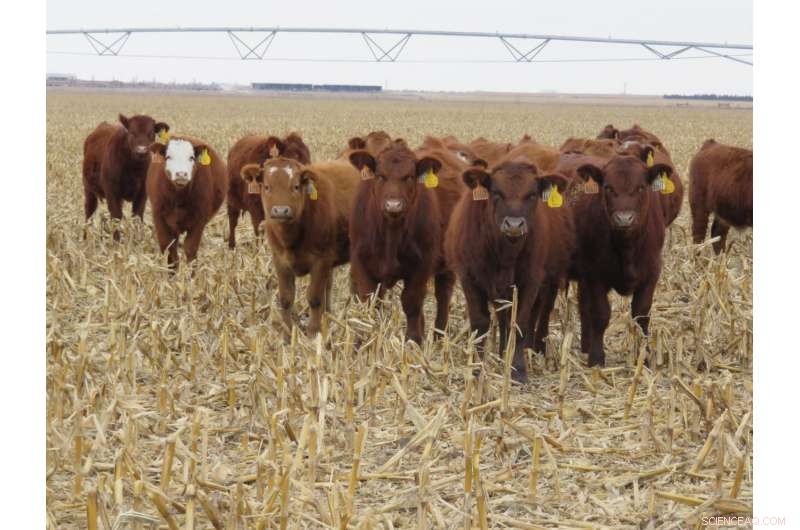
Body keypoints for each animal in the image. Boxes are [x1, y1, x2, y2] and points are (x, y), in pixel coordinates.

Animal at [146, 136, 228, 271]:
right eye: (168, 157)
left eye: (191, 157)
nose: (181, 174)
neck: (178, 198)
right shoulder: (159, 218)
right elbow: (169, 250)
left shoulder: (199, 221)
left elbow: (190, 251)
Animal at [240, 157, 360, 336]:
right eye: (267, 186)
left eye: (296, 186)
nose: (281, 210)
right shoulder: (280, 260)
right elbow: (286, 298)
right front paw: (287, 332)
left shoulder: (321, 260)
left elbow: (315, 298)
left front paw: (313, 332)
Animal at [348, 142, 465, 343]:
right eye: (380, 176)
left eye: (409, 177)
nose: (393, 205)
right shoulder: (361, 262)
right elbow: (369, 304)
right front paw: (362, 343)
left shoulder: (422, 264)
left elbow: (411, 303)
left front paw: (412, 343)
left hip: (447, 266)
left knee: (443, 296)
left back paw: (439, 338)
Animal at [445, 160, 574, 382]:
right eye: (496, 192)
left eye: (532, 194)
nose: (514, 224)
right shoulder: (469, 279)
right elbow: (480, 323)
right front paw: (478, 369)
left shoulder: (531, 281)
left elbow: (520, 322)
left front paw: (518, 370)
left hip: (550, 282)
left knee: (539, 314)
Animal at [569, 146, 674, 367]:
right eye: (608, 187)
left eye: (641, 187)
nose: (624, 219)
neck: (628, 249)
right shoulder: (595, 276)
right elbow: (600, 314)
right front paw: (597, 357)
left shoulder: (651, 273)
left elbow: (641, 314)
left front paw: (645, 355)